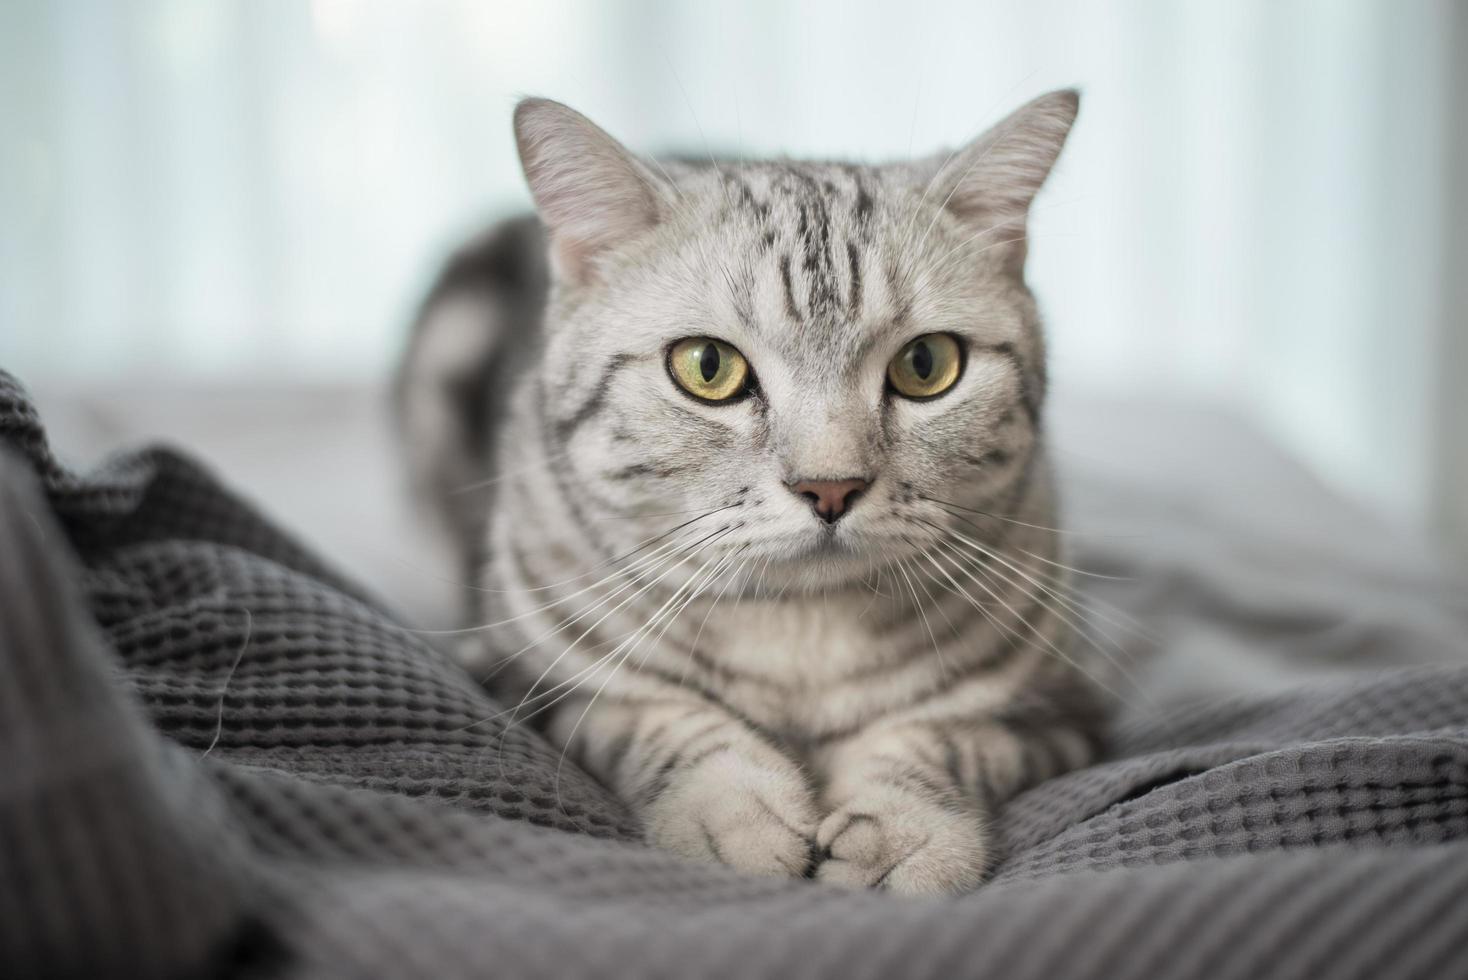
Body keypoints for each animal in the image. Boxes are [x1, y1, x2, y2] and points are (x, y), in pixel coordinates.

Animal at [396, 91, 1103, 897]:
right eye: (708, 366)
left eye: (926, 364)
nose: (830, 486)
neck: (802, 638)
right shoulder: (518, 680)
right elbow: (653, 718)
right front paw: (733, 814)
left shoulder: (1064, 716)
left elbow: (941, 740)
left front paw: (903, 835)